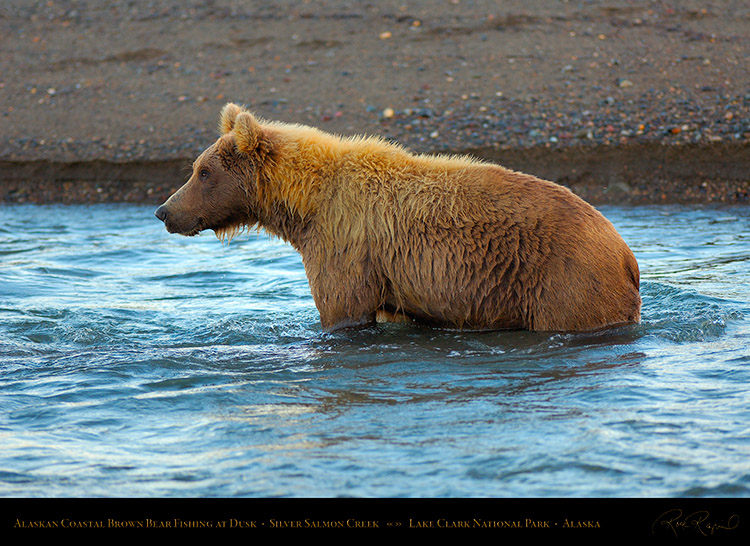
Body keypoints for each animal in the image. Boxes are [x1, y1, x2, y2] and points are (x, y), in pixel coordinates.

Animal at [156, 102, 644, 332]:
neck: (306, 204)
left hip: (564, 283)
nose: (164, 211)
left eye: (202, 172)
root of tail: (625, 253)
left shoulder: (345, 243)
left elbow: (342, 308)